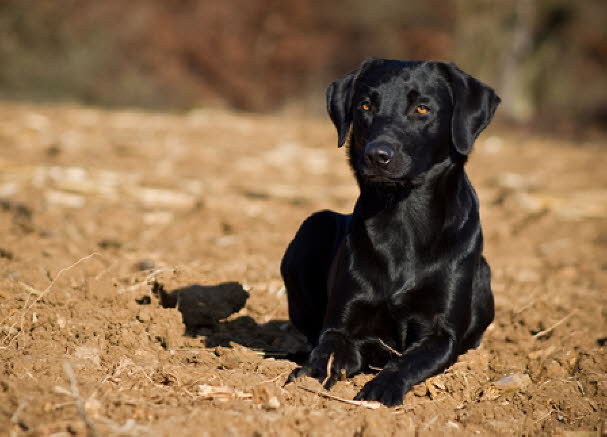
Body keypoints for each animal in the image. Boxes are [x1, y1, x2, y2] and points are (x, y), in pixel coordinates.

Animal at [280, 58, 498, 406]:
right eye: (365, 105)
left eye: (422, 108)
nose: (376, 155)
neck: (402, 217)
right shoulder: (340, 322)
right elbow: (328, 347)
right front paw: (310, 378)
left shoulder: (442, 334)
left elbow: (407, 360)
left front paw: (381, 388)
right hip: (314, 224)